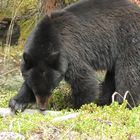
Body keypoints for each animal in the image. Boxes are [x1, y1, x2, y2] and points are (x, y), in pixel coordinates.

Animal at [8, 0, 140, 112]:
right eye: (35, 90)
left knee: (128, 73)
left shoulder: (70, 53)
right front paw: (17, 102)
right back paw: (105, 101)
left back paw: (125, 104)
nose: (42, 107)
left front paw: (79, 107)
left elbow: (84, 79)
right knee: (112, 75)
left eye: (51, 89)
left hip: (129, 41)